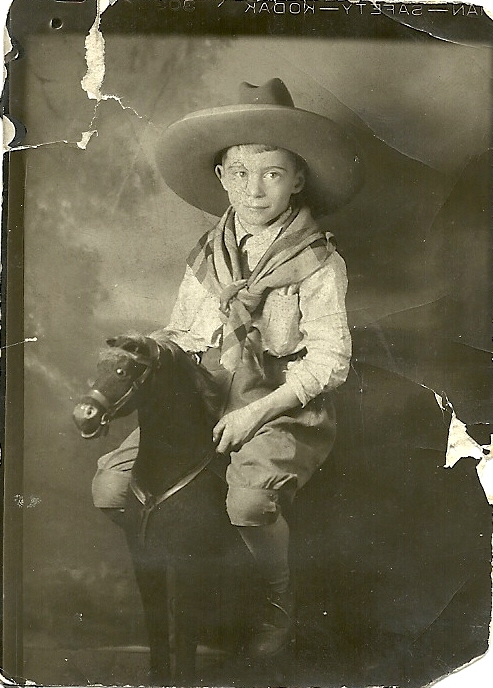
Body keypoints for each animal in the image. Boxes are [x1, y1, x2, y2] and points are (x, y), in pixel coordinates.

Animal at [72, 334, 256, 683]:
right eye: (98, 366)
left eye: (122, 370)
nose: (82, 414)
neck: (165, 471)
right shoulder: (144, 559)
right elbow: (155, 620)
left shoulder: (189, 564)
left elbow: (184, 629)